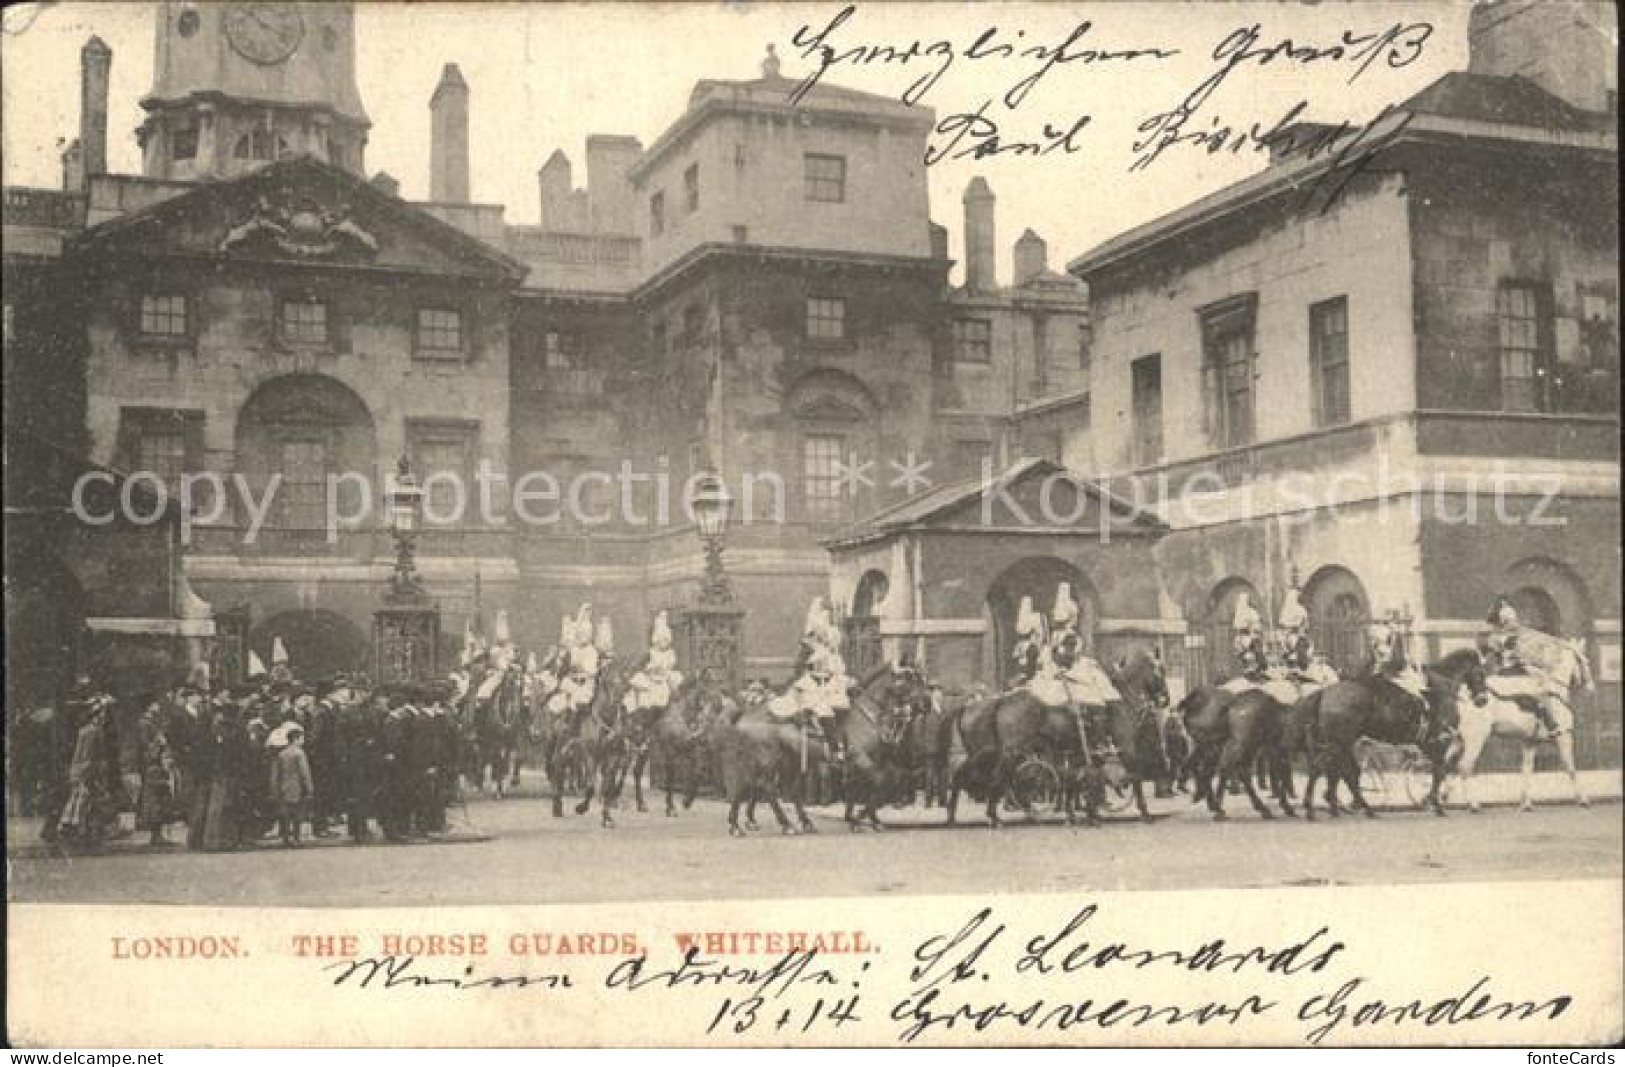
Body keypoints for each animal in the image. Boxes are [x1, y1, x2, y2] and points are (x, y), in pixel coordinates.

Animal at [1293, 646, 1488, 818]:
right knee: (1327, 769)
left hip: (1341, 743)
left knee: (1338, 771)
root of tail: (1326, 691)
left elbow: (1439, 770)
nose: (1483, 700)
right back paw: (1318, 807)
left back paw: (1349, 807)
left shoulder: (1428, 743)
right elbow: (1440, 771)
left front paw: (1431, 800)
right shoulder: (1439, 740)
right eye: (1481, 673)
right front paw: (1436, 804)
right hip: (1338, 743)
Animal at [1456, 636, 1592, 812]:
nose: (1591, 686)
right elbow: (1571, 768)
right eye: (1585, 661)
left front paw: (1525, 803)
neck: (1555, 689)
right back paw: (1473, 804)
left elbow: (1527, 770)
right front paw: (1583, 799)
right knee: (1464, 766)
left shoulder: (1530, 742)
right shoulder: (1564, 736)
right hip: (1476, 739)